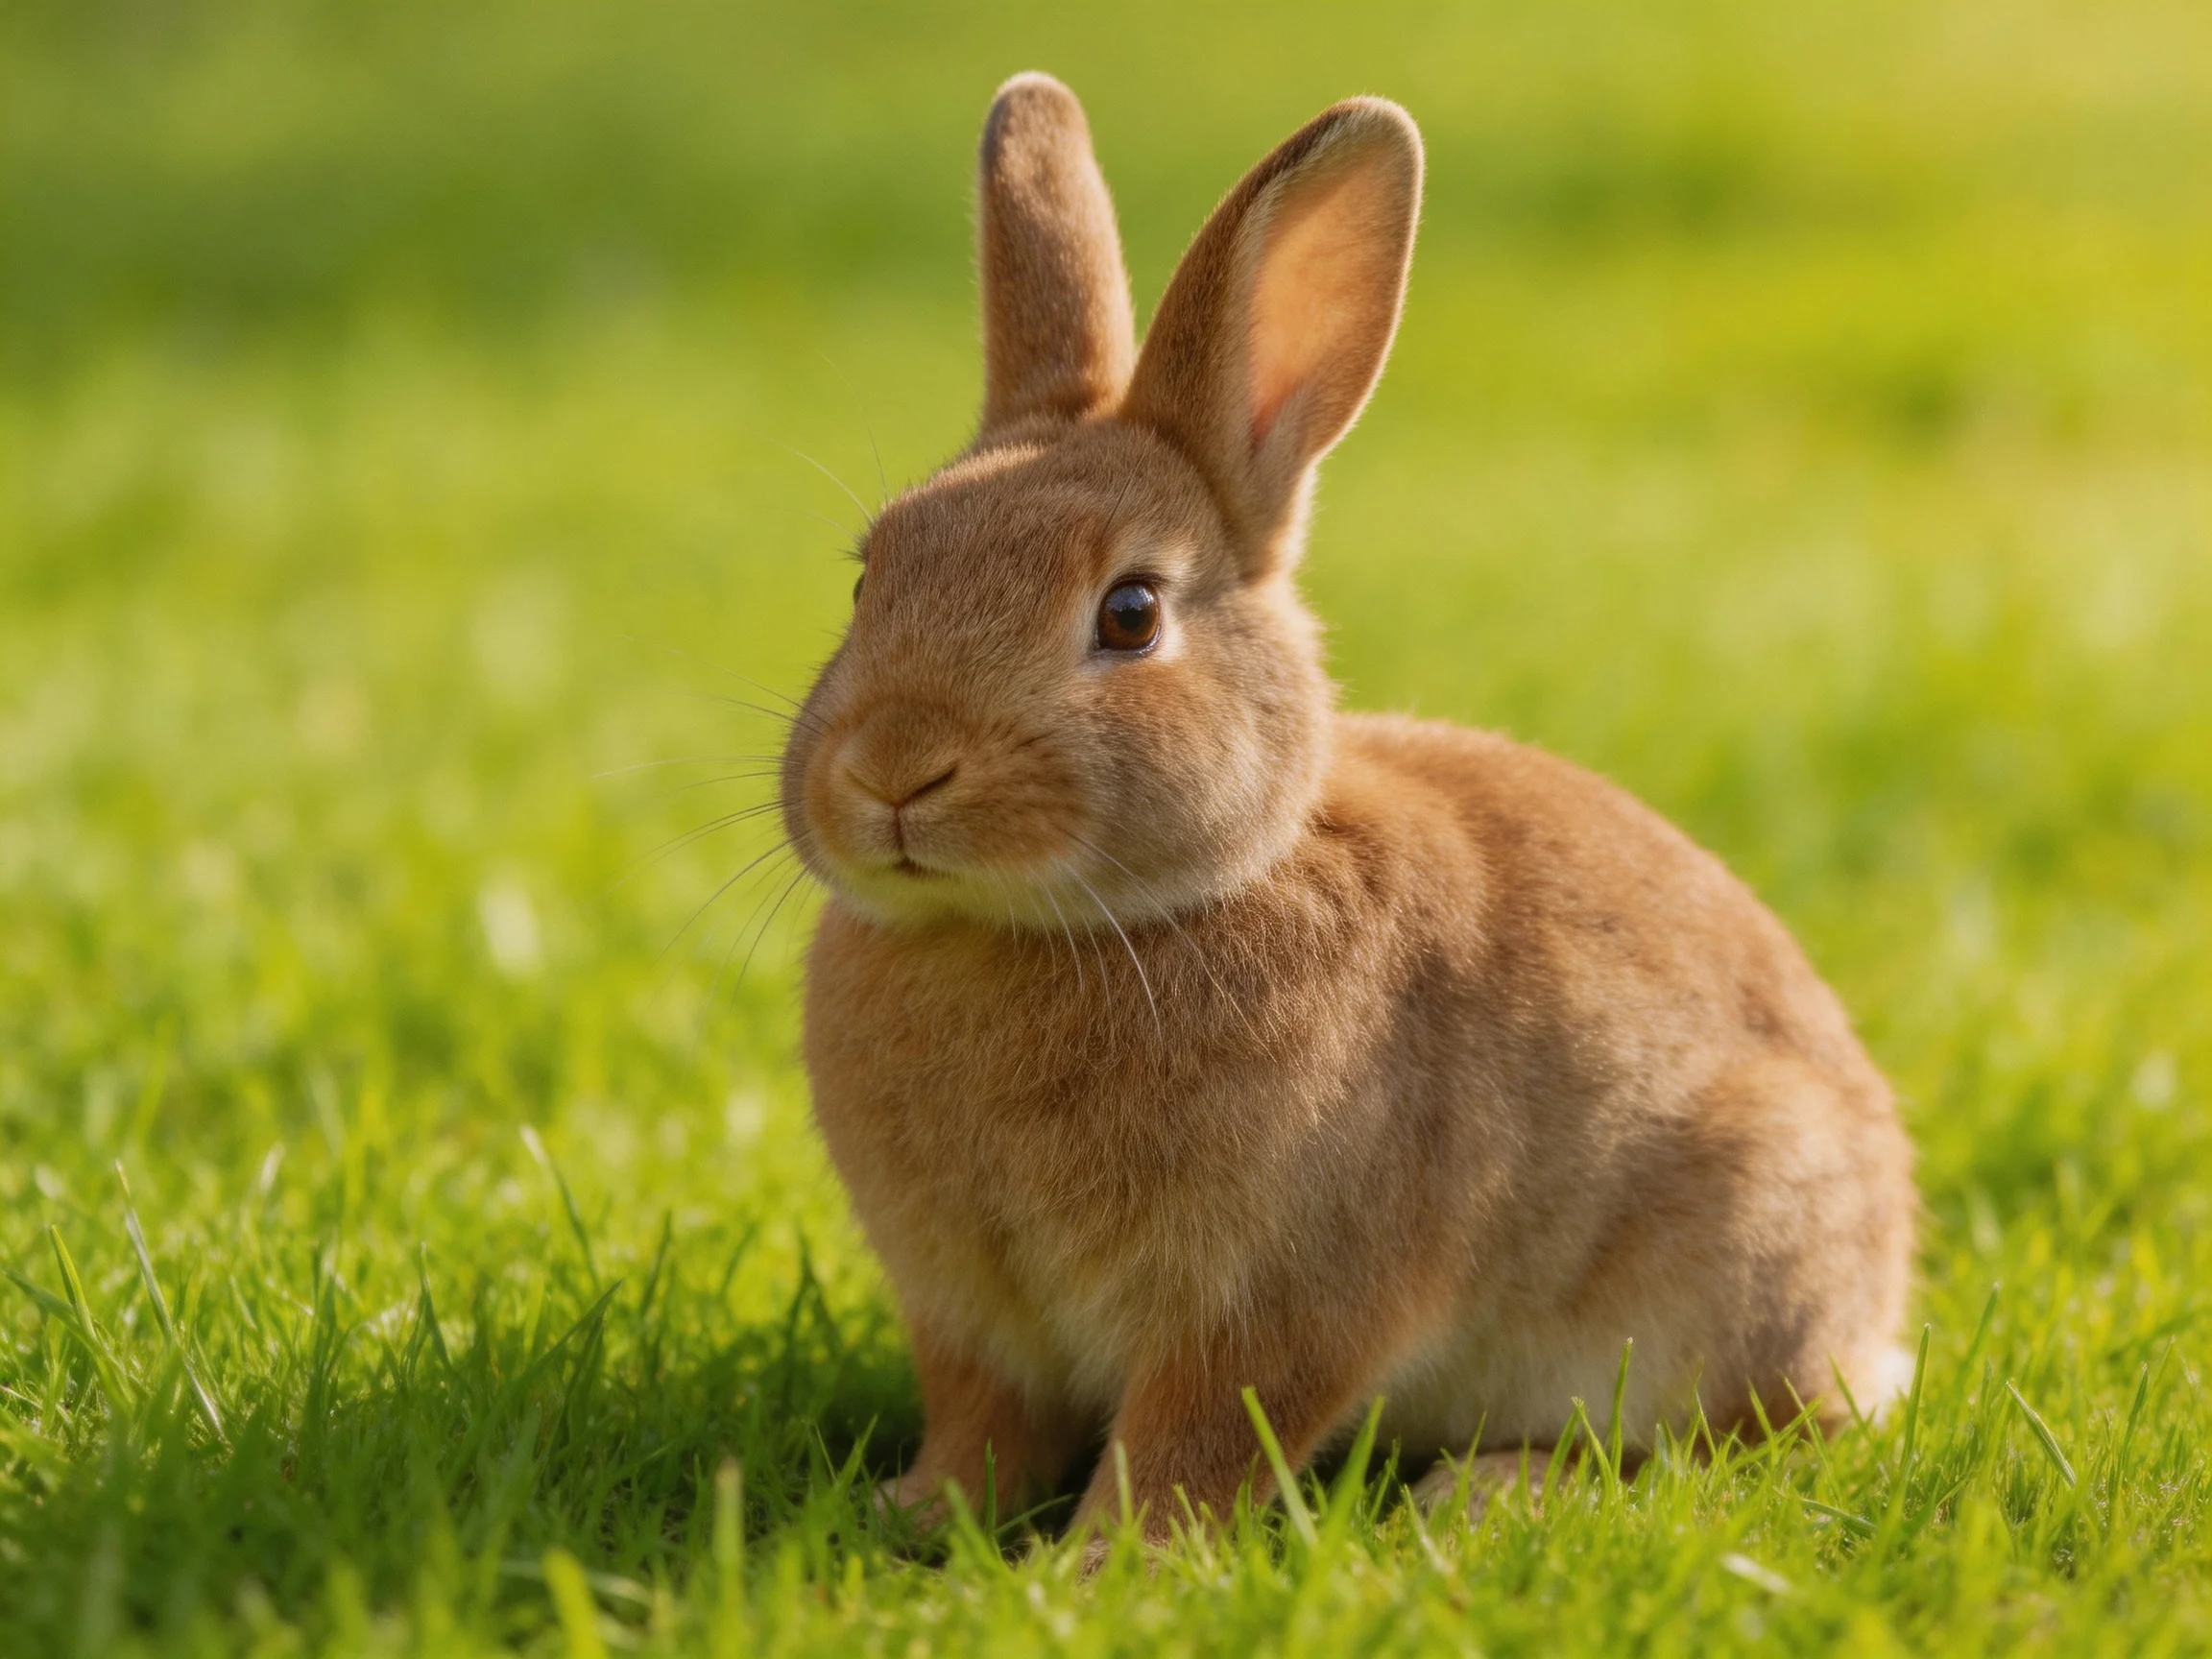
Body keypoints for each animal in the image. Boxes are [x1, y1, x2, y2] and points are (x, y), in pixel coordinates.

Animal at [777, 71, 1916, 1542]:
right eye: (870, 582)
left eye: (1130, 614)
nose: (893, 771)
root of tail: (1876, 1309)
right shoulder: (970, 1316)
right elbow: (984, 1429)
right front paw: (910, 1517)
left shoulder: (1280, 1298)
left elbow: (1193, 1444)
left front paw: (1098, 1568)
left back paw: (1487, 1495)